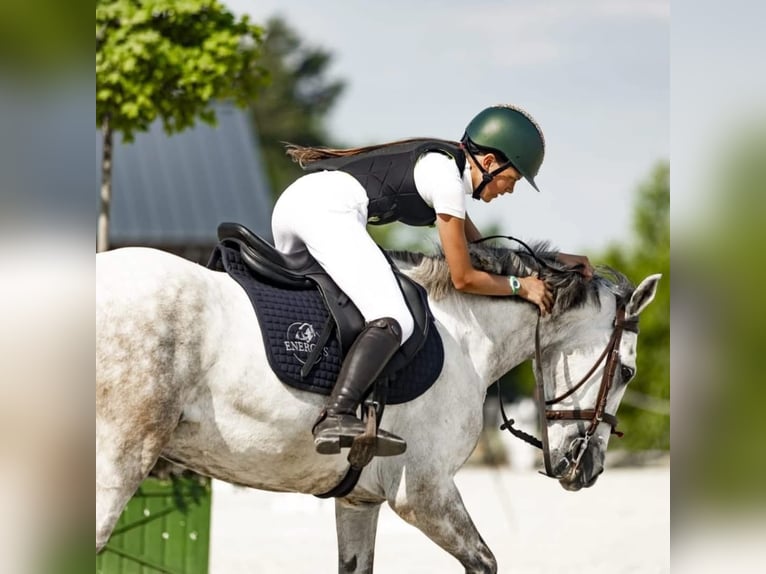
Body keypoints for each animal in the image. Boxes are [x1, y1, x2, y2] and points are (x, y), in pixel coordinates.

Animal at [96, 238, 660, 573]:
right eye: (627, 372)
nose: (587, 469)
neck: (465, 332)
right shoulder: (425, 493)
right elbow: (484, 561)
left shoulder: (359, 500)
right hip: (117, 464)